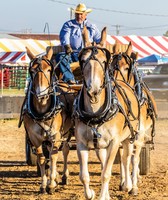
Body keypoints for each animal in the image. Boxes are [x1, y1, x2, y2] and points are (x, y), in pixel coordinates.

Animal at [19, 46, 74, 194]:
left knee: (65, 150)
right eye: (32, 71)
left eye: (49, 70)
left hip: (66, 132)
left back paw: (64, 176)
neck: (43, 111)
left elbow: (54, 156)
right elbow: (42, 158)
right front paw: (44, 184)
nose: (41, 94)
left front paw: (51, 185)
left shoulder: (56, 135)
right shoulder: (35, 137)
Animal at [73, 26, 140, 198]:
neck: (95, 113)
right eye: (83, 60)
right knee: (105, 161)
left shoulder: (115, 142)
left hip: (129, 137)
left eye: (104, 61)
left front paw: (104, 196)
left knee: (126, 158)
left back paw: (129, 185)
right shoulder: (81, 143)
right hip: (100, 145)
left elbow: (106, 173)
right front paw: (90, 193)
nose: (93, 90)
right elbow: (84, 175)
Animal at [110, 41, 158, 195]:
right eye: (110, 67)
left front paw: (134, 186)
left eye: (126, 68)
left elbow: (134, 158)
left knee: (136, 153)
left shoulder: (139, 133)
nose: (116, 85)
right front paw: (124, 183)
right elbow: (123, 158)